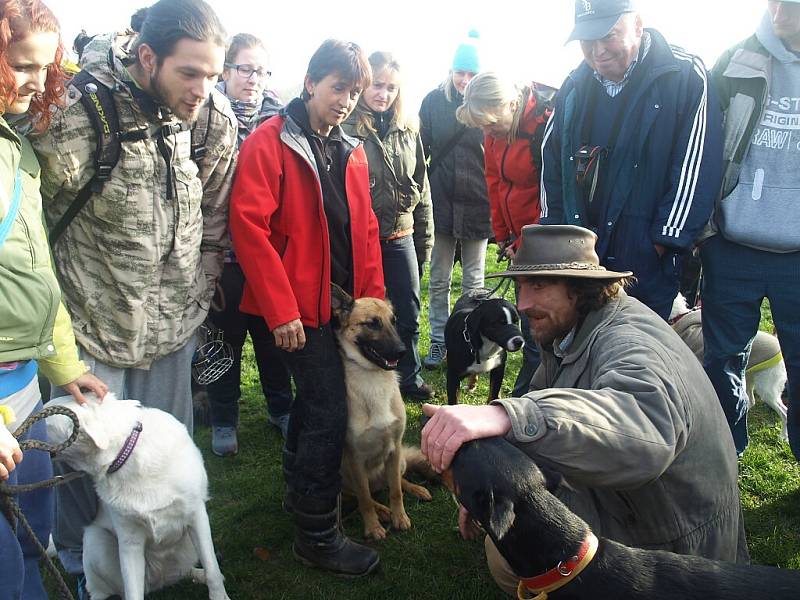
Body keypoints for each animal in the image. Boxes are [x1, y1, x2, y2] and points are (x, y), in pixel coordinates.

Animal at [46, 394, 230, 600]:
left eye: (42, 422)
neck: (125, 454)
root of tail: (159, 581)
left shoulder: (196, 515)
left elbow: (212, 568)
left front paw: (219, 593)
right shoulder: (129, 541)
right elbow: (132, 592)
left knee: (189, 571)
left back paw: (200, 575)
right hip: (96, 540)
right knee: (100, 590)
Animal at [330, 284, 434, 540]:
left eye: (393, 321)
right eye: (372, 323)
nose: (403, 351)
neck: (373, 378)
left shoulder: (394, 449)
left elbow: (396, 489)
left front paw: (400, 517)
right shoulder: (356, 460)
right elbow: (365, 499)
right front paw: (373, 526)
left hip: (398, 461)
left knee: (395, 481)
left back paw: (415, 490)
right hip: (342, 476)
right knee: (361, 496)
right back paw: (382, 511)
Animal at [668, 294, 788, 440]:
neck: (679, 317)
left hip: (767, 388)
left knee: (784, 412)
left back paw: (783, 436)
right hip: (749, 377)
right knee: (750, 400)